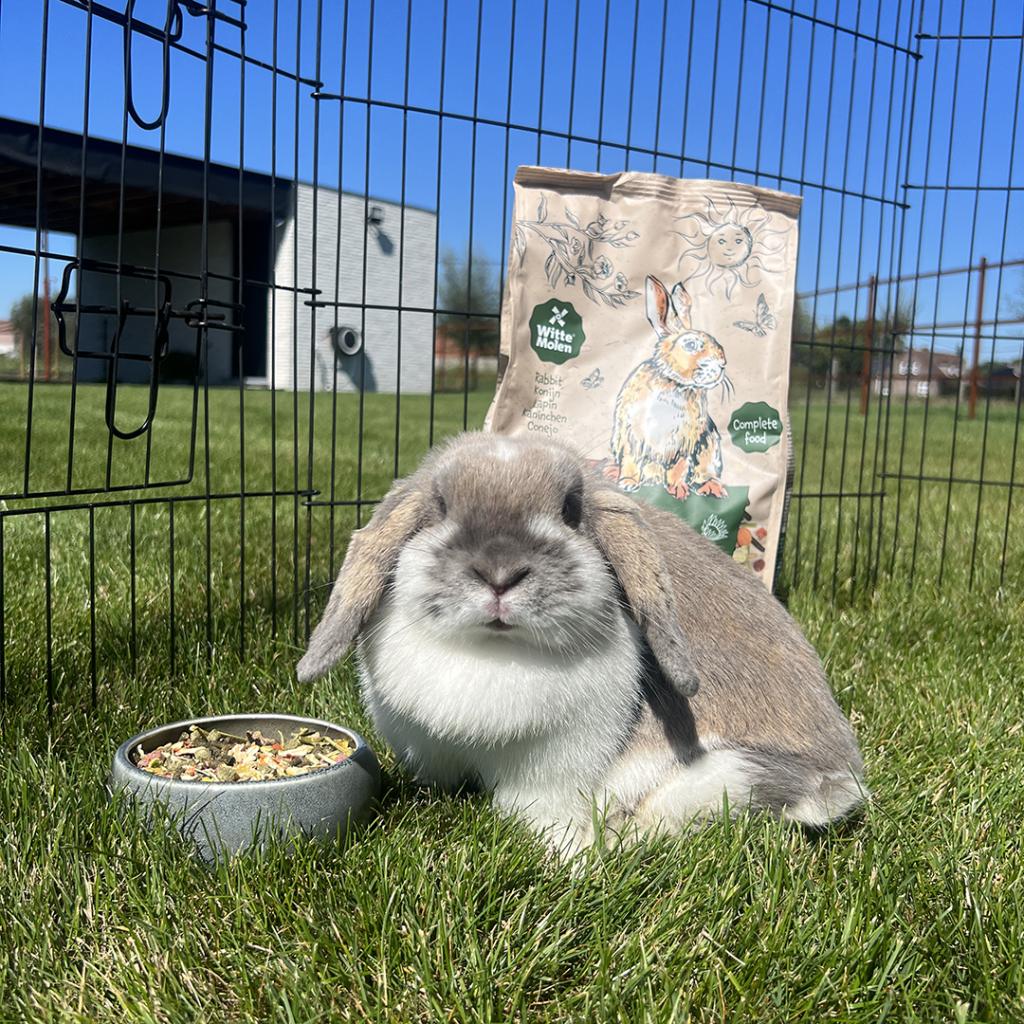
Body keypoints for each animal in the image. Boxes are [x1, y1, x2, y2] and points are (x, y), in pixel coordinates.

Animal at [297, 432, 867, 852]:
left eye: (571, 508)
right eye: (439, 505)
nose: (500, 575)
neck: (494, 653)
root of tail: (841, 779)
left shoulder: (552, 772)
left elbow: (540, 811)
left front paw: (569, 855)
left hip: (726, 777)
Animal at [610, 275, 730, 500]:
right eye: (691, 345)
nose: (722, 364)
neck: (674, 383)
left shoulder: (684, 444)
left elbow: (679, 468)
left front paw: (678, 490)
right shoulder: (632, 437)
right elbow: (630, 461)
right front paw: (627, 483)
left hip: (710, 447)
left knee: (704, 472)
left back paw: (712, 488)